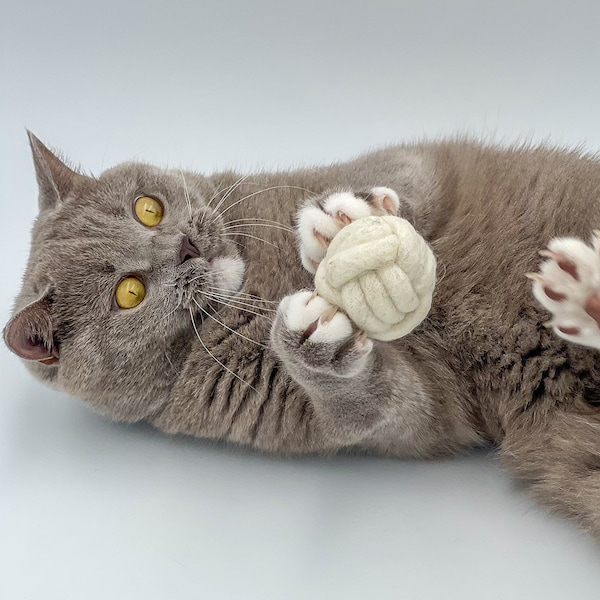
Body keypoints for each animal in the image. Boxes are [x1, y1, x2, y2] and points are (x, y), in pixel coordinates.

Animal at [3, 135, 600, 540]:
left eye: (148, 208)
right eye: (129, 292)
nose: (186, 247)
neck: (252, 288)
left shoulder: (407, 160)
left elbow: (405, 172)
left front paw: (342, 219)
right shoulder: (417, 412)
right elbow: (391, 403)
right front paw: (317, 346)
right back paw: (581, 294)